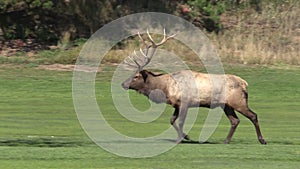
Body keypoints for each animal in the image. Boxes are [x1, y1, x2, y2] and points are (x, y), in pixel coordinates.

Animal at [120, 29, 266, 144]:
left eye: (136, 76)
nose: (123, 83)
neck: (165, 88)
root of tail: (245, 83)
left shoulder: (185, 102)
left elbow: (180, 121)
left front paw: (181, 139)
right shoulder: (177, 104)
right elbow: (172, 120)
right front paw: (186, 136)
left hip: (238, 101)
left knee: (253, 115)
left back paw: (262, 140)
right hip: (226, 105)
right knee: (235, 120)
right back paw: (226, 141)